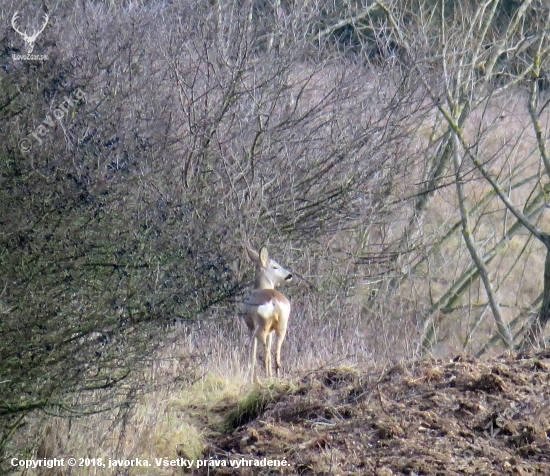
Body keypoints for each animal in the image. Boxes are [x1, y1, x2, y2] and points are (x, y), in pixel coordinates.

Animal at [243, 247, 294, 382]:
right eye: (275, 266)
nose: (289, 275)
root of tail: (274, 301)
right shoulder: (271, 331)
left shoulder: (250, 328)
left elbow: (252, 353)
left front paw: (251, 378)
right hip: (281, 325)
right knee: (276, 354)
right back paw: (274, 377)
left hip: (261, 327)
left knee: (266, 354)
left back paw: (265, 377)